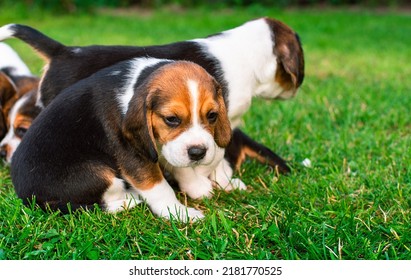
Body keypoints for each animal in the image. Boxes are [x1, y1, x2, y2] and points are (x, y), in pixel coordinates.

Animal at [10, 58, 238, 221]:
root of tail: (27, 197)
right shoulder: (135, 156)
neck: (137, 83)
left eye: (212, 115)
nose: (198, 153)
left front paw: (196, 187)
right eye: (171, 119)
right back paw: (130, 199)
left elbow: (179, 165)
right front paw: (179, 213)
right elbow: (159, 187)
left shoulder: (162, 145)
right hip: (96, 173)